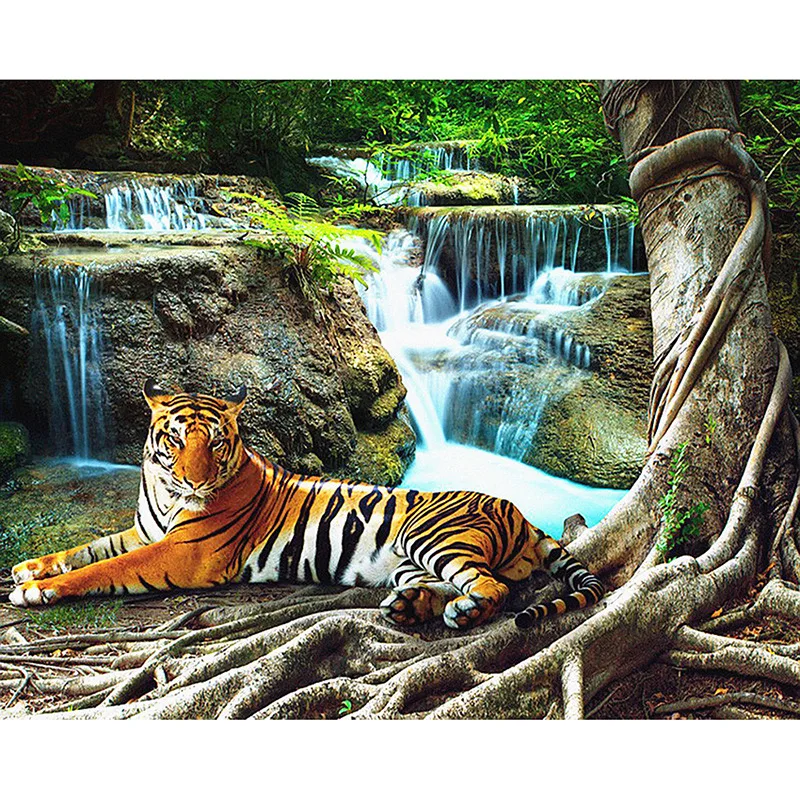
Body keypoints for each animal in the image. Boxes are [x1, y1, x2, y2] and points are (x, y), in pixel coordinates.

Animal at [9, 380, 604, 630]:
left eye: (215, 444)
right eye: (175, 439)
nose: (195, 480)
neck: (163, 491)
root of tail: (521, 514)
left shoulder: (182, 553)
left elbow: (106, 568)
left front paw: (38, 590)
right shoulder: (146, 531)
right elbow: (90, 548)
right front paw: (30, 567)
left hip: (432, 536)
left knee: (493, 587)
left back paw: (463, 613)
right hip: (409, 561)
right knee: (452, 585)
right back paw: (412, 608)